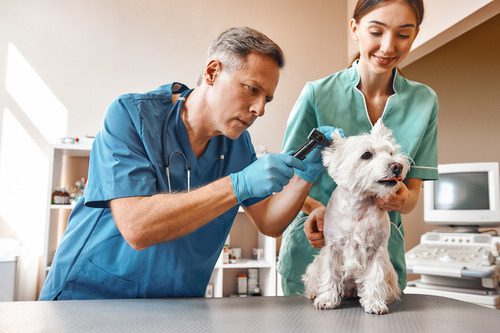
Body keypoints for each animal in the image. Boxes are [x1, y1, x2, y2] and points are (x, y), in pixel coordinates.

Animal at [302, 119, 408, 314]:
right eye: (366, 155)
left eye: (390, 153)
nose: (397, 166)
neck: (359, 206)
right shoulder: (333, 248)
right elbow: (330, 275)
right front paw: (326, 300)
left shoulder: (375, 250)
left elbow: (375, 278)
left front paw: (374, 303)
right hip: (314, 267)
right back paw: (314, 293)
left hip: (390, 273)